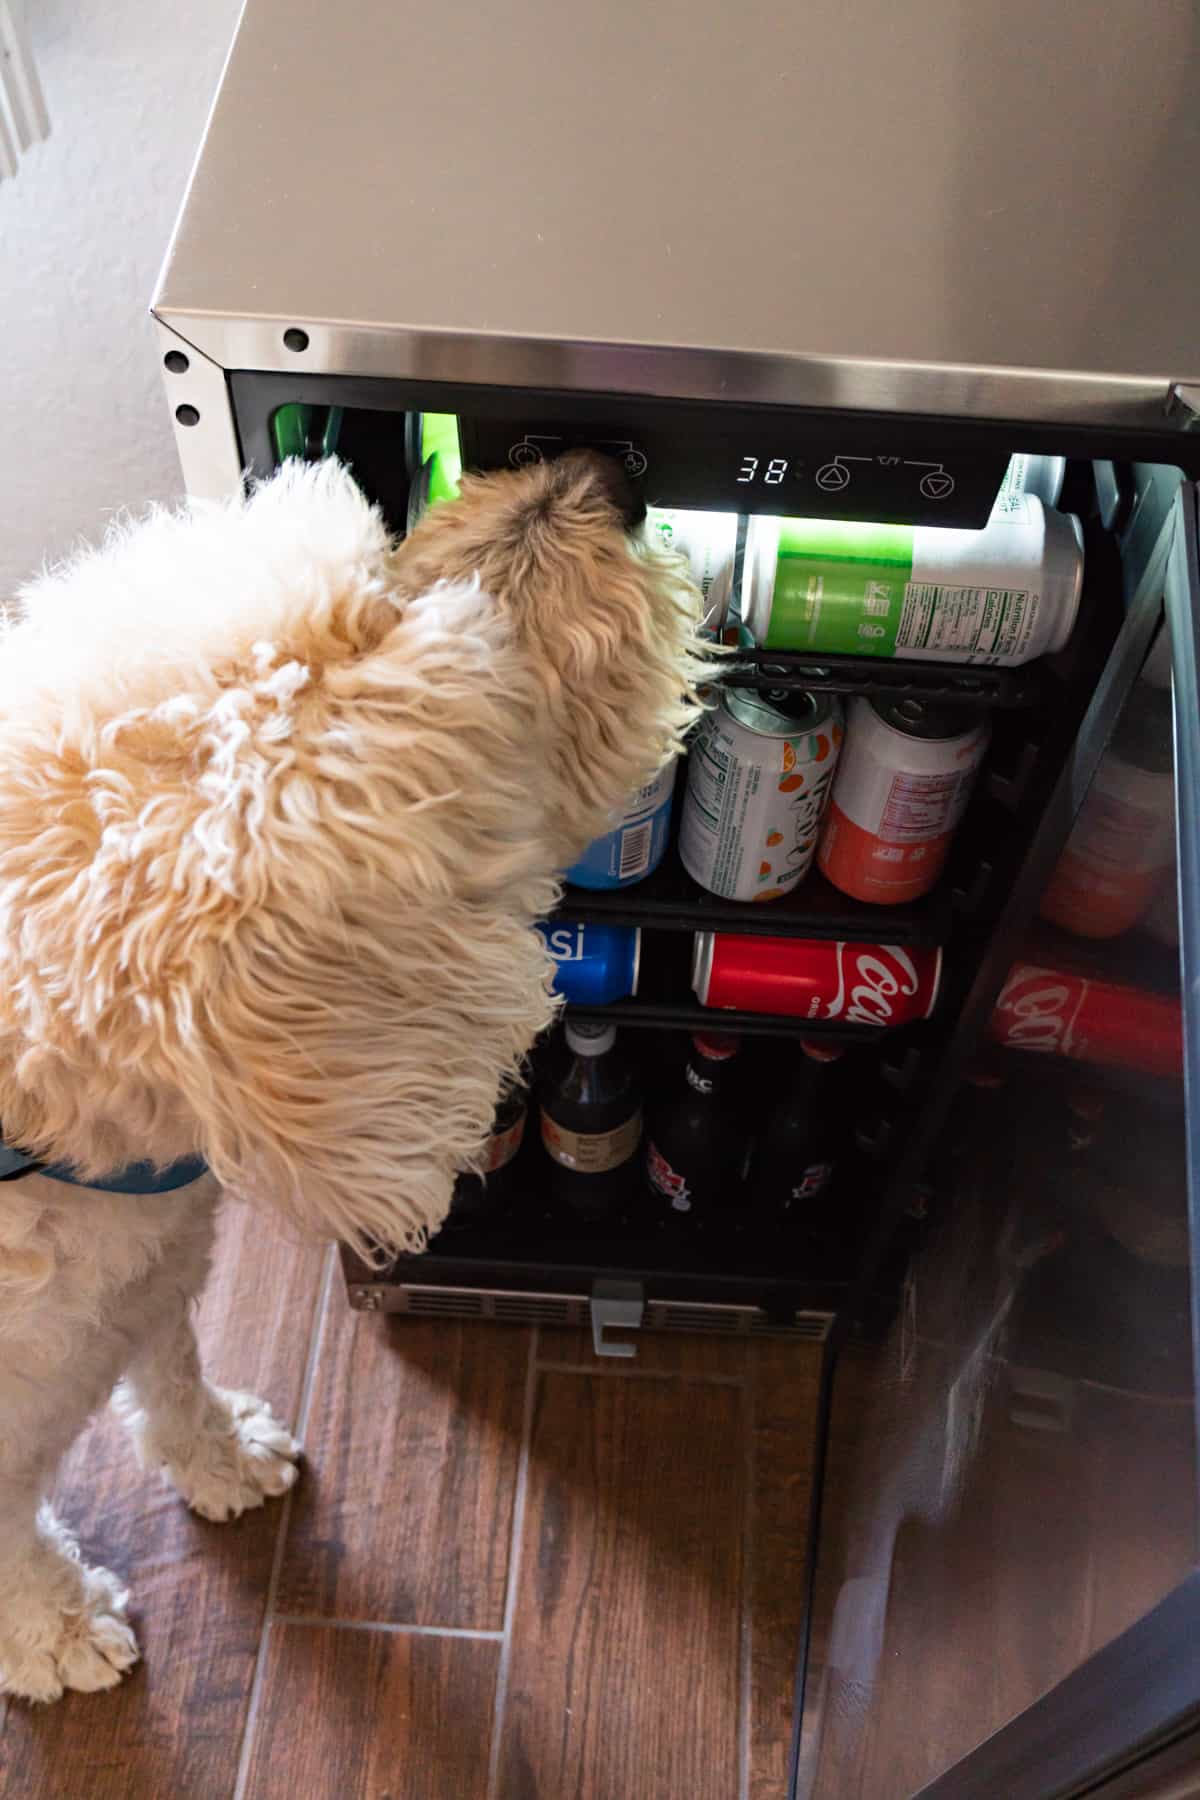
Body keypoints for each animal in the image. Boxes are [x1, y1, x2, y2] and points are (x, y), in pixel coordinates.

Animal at [0, 453, 705, 1699]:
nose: (601, 473)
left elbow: (174, 1372)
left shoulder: (146, 1281)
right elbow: (15, 1549)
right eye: (450, 642)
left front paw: (224, 1459)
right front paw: (54, 1631)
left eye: (376, 567)